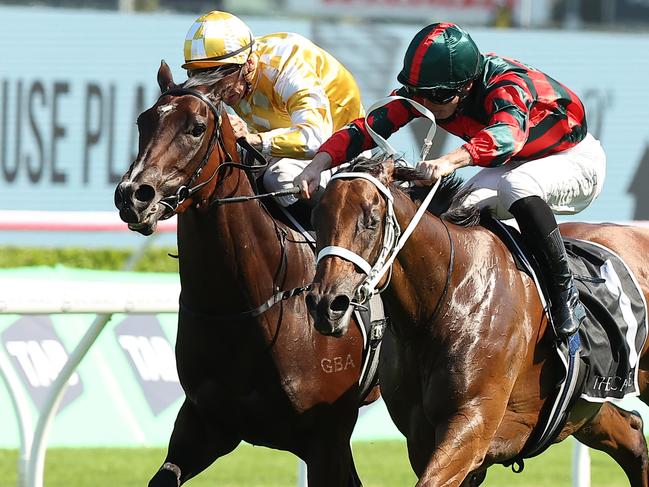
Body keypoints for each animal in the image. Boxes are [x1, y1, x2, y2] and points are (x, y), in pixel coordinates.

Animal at [304, 157, 648, 487]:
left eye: (371, 222)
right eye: (316, 220)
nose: (326, 304)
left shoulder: (472, 424)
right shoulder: (422, 439)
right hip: (585, 404)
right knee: (632, 435)